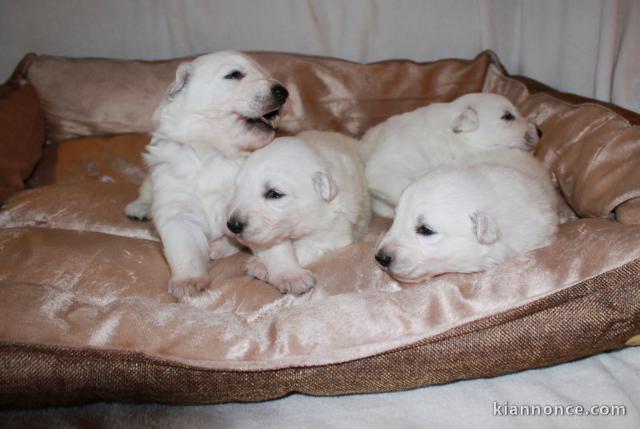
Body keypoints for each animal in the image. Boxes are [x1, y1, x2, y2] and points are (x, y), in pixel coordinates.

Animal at [123, 51, 288, 298]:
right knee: (145, 190)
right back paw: (138, 208)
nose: (283, 91)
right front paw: (188, 282)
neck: (214, 153)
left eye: (266, 75)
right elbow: (185, 248)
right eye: (234, 75)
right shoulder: (176, 206)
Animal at [228, 130, 372, 294]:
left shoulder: (333, 232)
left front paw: (263, 266)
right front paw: (284, 273)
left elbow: (306, 247)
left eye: (274, 194)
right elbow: (275, 248)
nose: (232, 225)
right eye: (238, 189)